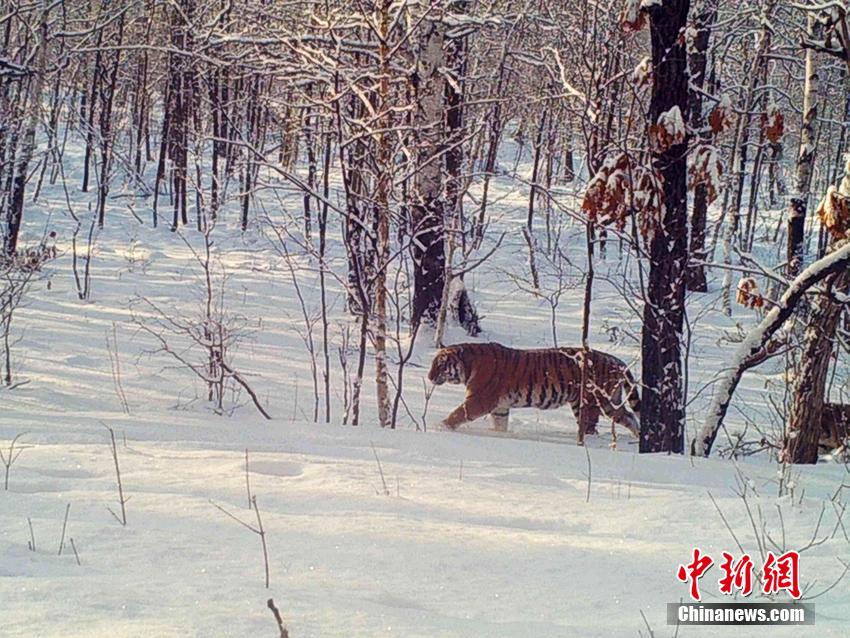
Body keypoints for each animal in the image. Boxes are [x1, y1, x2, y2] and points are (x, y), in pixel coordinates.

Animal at [427, 342, 640, 437]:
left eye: (440, 364)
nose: (429, 377)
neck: (468, 365)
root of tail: (617, 361)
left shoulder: (479, 400)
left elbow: (458, 413)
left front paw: (440, 426)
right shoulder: (500, 407)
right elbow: (500, 424)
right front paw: (500, 434)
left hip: (594, 401)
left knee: (592, 423)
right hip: (609, 401)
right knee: (629, 416)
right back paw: (638, 436)